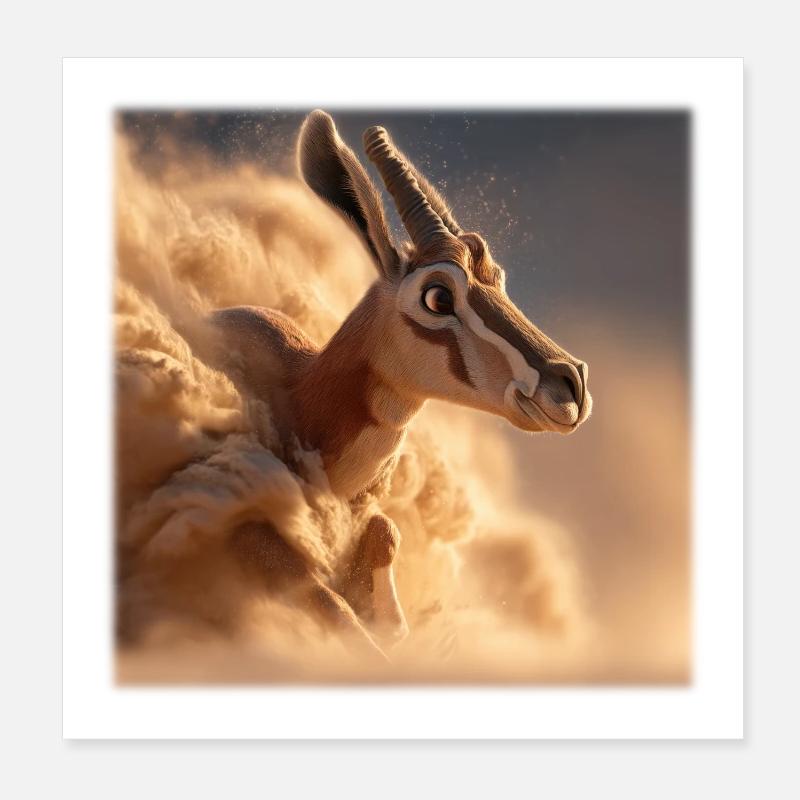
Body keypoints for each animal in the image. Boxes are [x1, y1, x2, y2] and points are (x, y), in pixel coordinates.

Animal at [212, 110, 592, 658]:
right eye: (437, 296)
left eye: (497, 276)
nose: (569, 386)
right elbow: (322, 595)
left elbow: (382, 537)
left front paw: (392, 626)